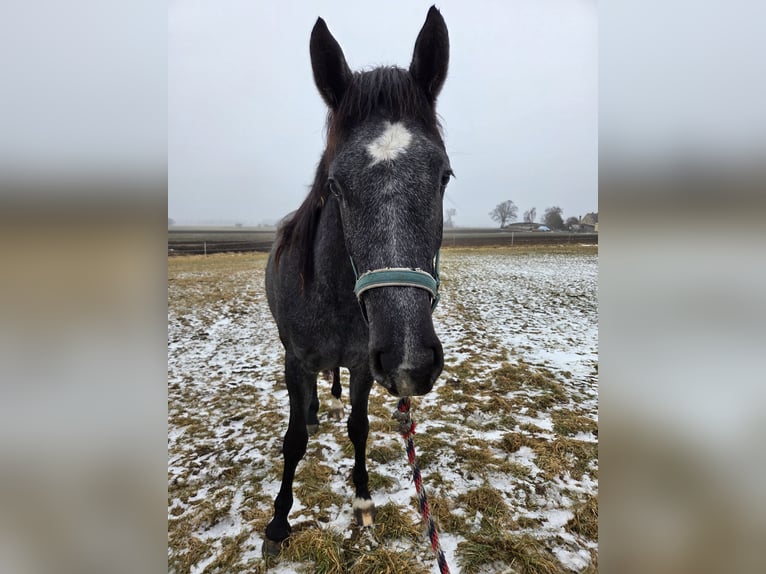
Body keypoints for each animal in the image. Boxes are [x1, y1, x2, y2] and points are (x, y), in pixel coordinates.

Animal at [263, 6, 451, 554]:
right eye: (335, 185)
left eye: (444, 176)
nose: (410, 360)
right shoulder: (296, 360)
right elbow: (293, 442)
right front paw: (278, 521)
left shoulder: (367, 365)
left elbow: (360, 426)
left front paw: (364, 501)